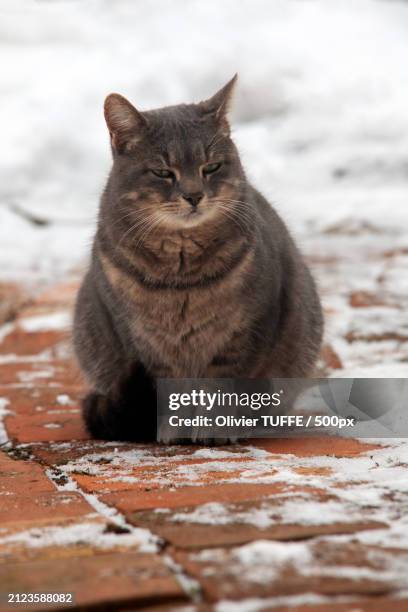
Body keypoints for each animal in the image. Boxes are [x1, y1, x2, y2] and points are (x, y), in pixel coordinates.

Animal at [72, 75, 322, 440]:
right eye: (163, 172)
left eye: (212, 167)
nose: (194, 195)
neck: (181, 273)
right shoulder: (143, 344)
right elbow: (170, 388)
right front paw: (173, 428)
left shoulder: (244, 332)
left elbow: (220, 385)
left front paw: (215, 427)